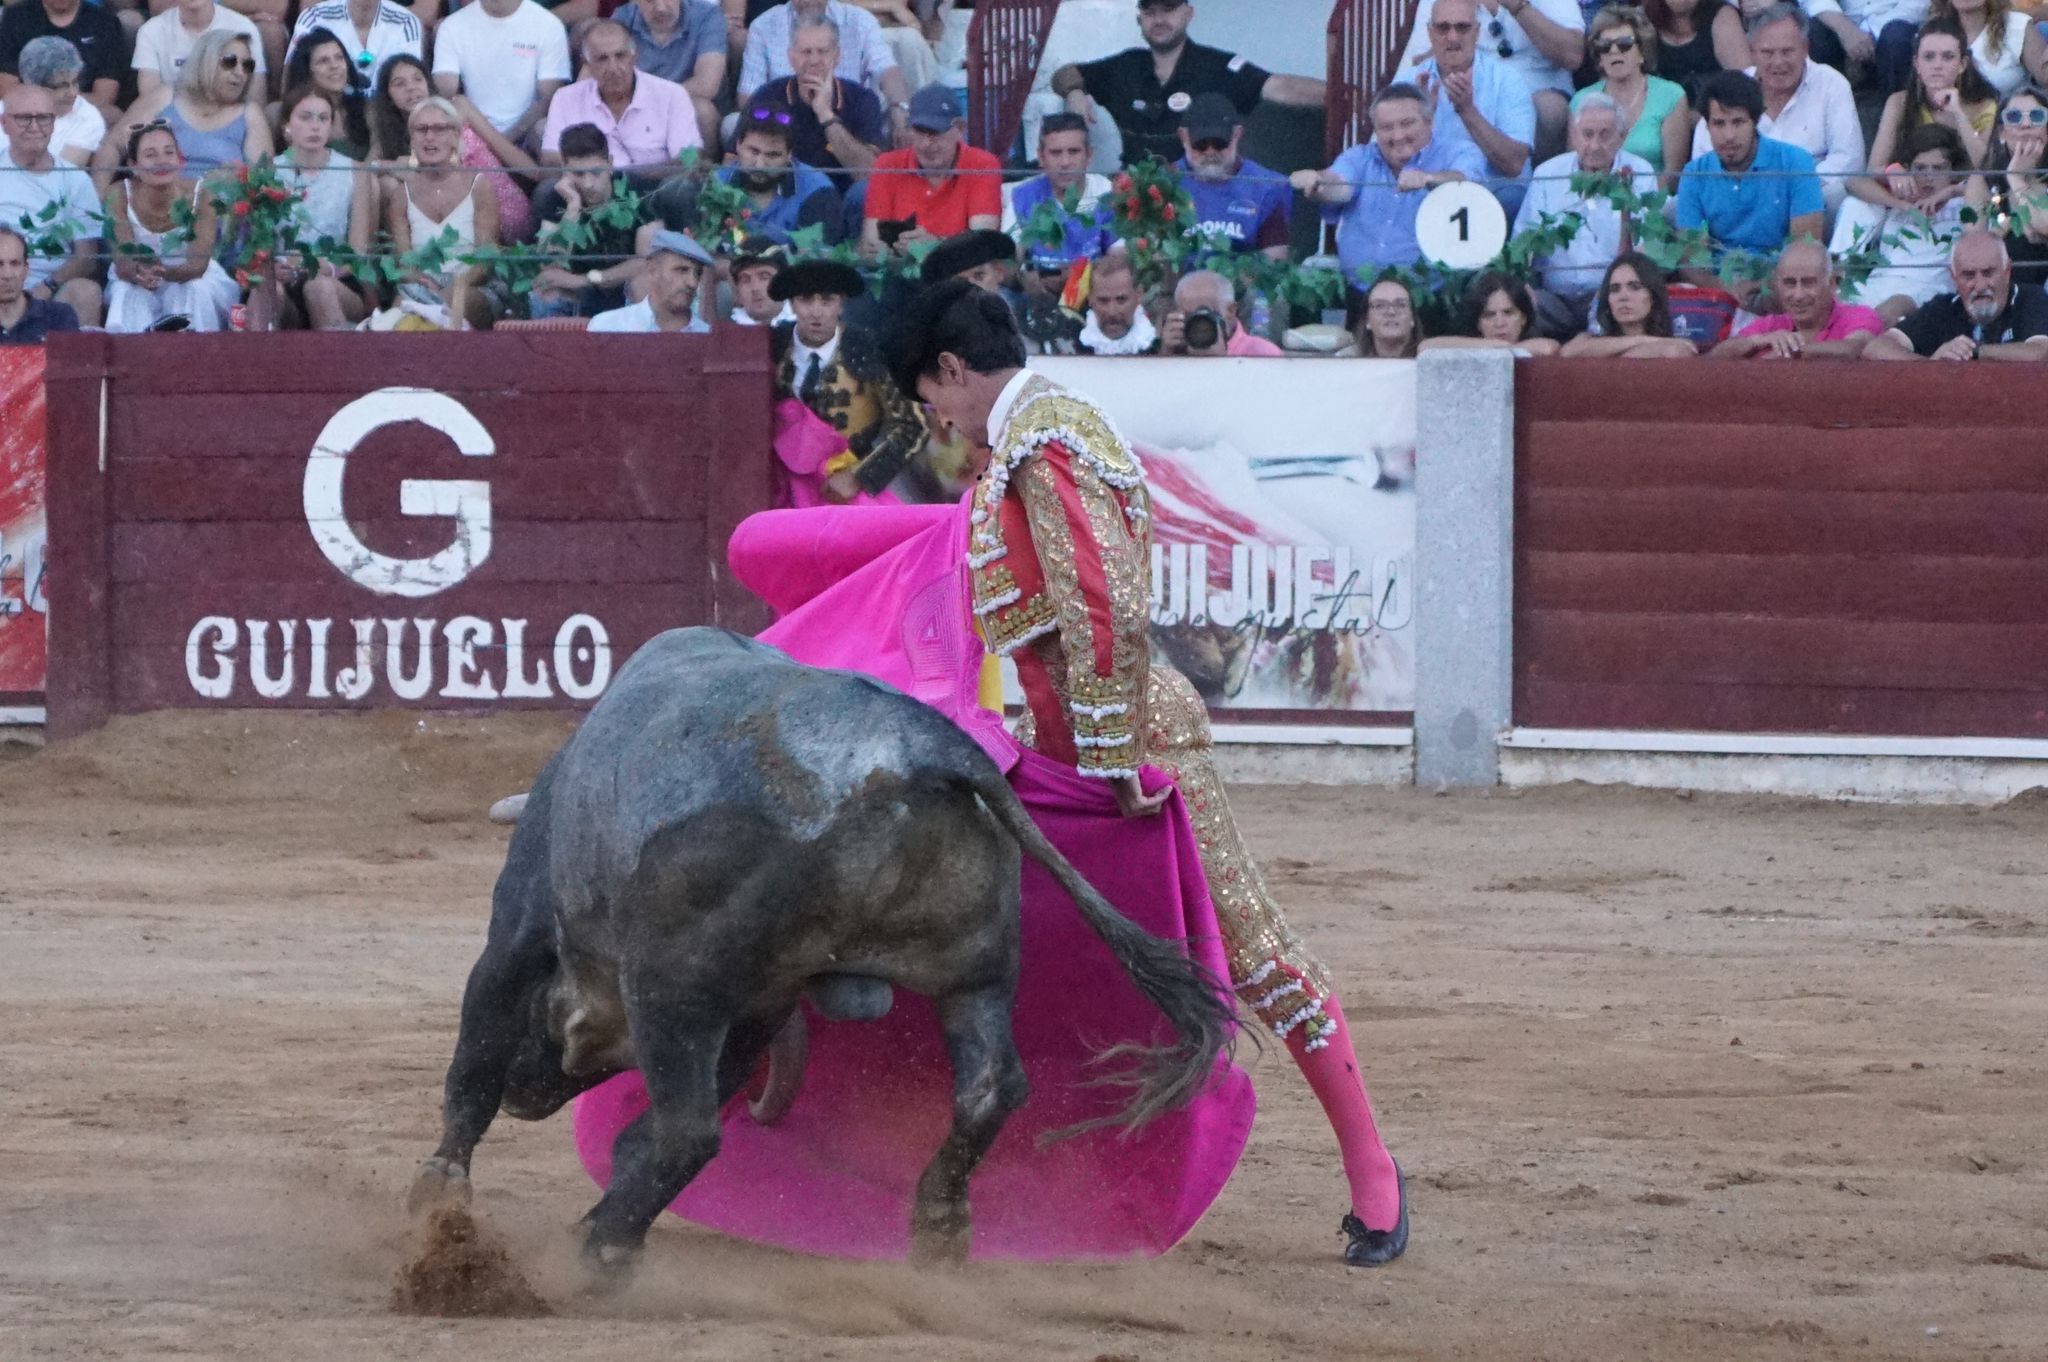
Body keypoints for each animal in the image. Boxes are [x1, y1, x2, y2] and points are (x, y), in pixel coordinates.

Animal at [407, 630, 1220, 1269]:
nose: (526, 1092)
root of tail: (928, 748)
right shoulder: (763, 1002)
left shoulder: (521, 937)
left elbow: (472, 1066)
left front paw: (437, 1194)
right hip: (975, 968)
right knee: (991, 1088)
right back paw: (939, 1229)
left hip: (676, 987)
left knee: (687, 1131)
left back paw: (602, 1251)